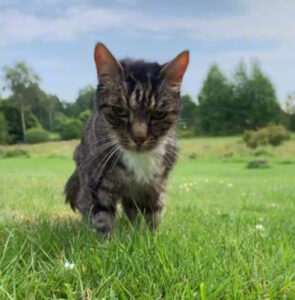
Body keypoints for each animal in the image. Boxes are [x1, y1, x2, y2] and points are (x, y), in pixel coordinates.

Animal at [65, 42, 190, 234]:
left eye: (159, 114)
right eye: (120, 110)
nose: (139, 137)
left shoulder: (155, 187)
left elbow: (153, 215)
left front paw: (150, 237)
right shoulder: (97, 184)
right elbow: (101, 217)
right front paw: (105, 240)